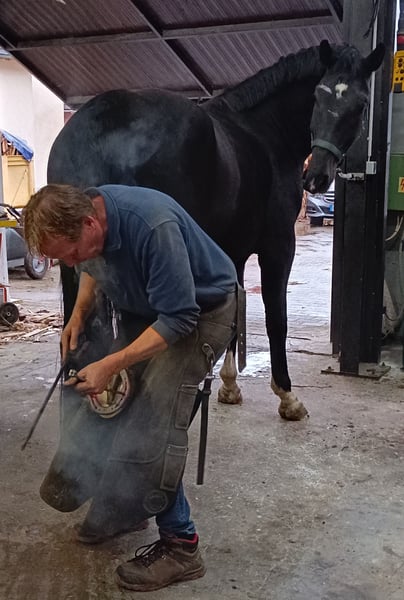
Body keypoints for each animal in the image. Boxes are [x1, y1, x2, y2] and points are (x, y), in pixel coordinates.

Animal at [47, 40, 384, 421]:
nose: (316, 178)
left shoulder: (230, 249)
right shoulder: (279, 247)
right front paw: (287, 396)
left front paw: (228, 385)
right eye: (318, 95)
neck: (265, 133)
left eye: (360, 104)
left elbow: (236, 311)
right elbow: (276, 319)